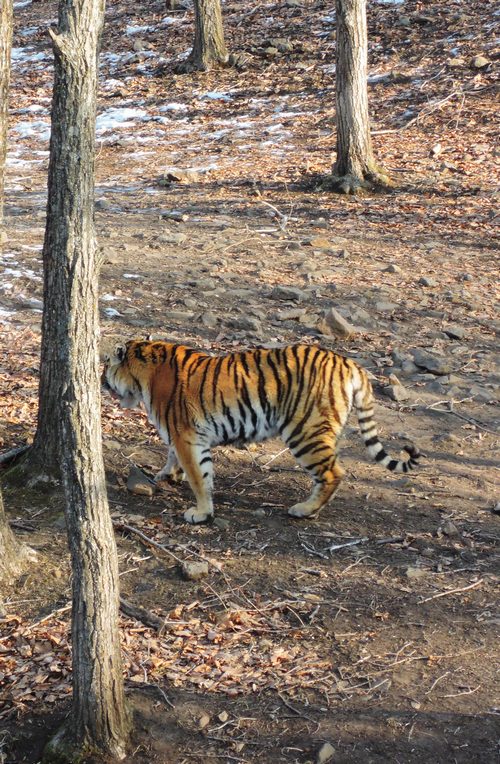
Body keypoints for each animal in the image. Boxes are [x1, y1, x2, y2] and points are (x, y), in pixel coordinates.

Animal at [103, 340, 420, 524]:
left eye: (106, 365)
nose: (102, 379)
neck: (145, 376)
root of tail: (351, 364)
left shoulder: (186, 436)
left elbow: (200, 477)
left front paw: (201, 512)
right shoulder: (179, 434)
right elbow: (173, 457)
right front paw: (168, 474)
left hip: (305, 432)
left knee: (333, 473)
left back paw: (304, 510)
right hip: (327, 432)